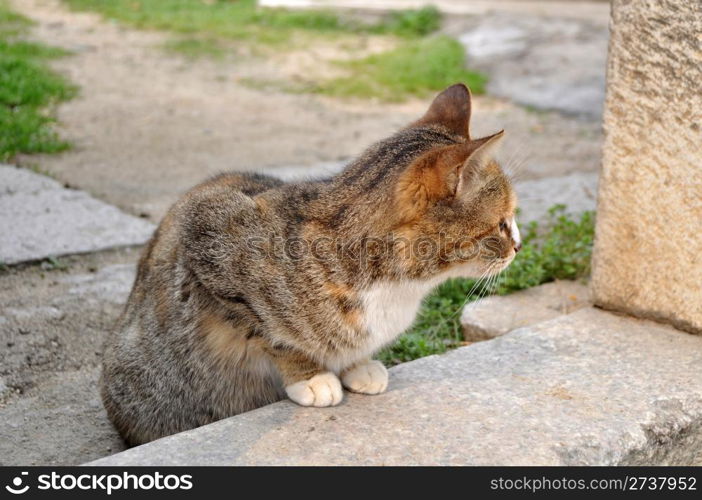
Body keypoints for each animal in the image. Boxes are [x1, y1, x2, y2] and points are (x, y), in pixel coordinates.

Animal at [103, 83, 524, 446]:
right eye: (502, 222)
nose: (520, 246)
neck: (397, 287)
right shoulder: (206, 231)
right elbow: (271, 335)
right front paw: (311, 375)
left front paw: (357, 364)